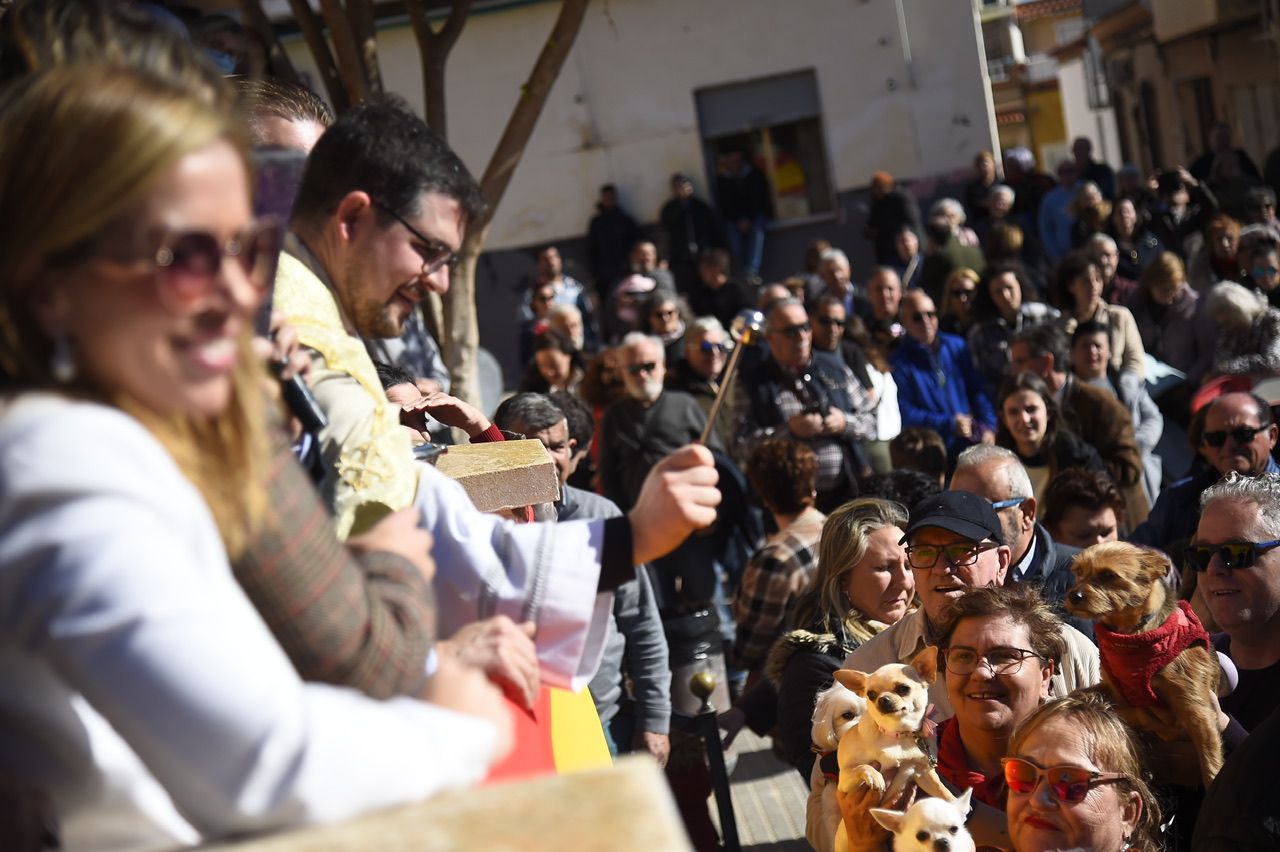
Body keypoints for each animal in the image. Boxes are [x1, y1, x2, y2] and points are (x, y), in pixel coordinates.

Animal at [1064, 539, 1223, 788]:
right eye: (1078, 571)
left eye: (1108, 575)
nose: (1074, 596)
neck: (1132, 636)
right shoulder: (1114, 688)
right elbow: (1084, 694)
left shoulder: (1195, 710)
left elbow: (1211, 764)